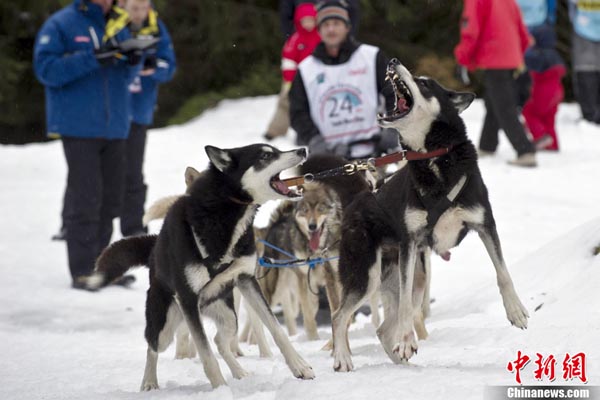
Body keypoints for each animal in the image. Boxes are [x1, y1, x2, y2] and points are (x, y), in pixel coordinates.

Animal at [89, 144, 316, 390]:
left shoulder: (247, 279)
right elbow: (205, 352)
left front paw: (300, 366)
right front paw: (219, 388)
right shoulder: (188, 299)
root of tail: (154, 250)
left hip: (228, 315)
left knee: (220, 341)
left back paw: (239, 372)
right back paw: (149, 382)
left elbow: (276, 329)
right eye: (266, 155)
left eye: (275, 150)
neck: (224, 214)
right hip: (166, 322)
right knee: (153, 347)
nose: (303, 150)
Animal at [328, 59, 528, 372]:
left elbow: (503, 272)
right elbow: (407, 311)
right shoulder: (410, 242)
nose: (393, 61)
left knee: (383, 328)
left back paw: (402, 362)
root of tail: (358, 200)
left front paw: (515, 310)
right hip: (366, 275)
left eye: (424, 83)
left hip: (414, 279)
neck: (433, 157)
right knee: (339, 316)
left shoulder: (484, 223)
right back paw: (344, 358)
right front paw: (407, 341)